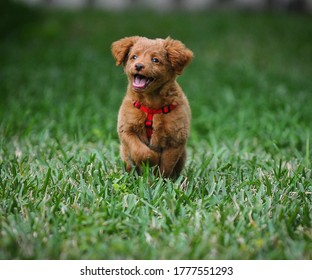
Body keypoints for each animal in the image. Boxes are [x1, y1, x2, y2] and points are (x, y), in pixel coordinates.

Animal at [111, 36, 191, 178]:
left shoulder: (175, 139)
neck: (151, 104)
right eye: (134, 57)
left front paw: (160, 180)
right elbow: (140, 150)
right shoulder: (126, 129)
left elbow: (166, 165)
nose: (138, 66)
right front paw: (151, 158)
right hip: (125, 156)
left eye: (155, 60)